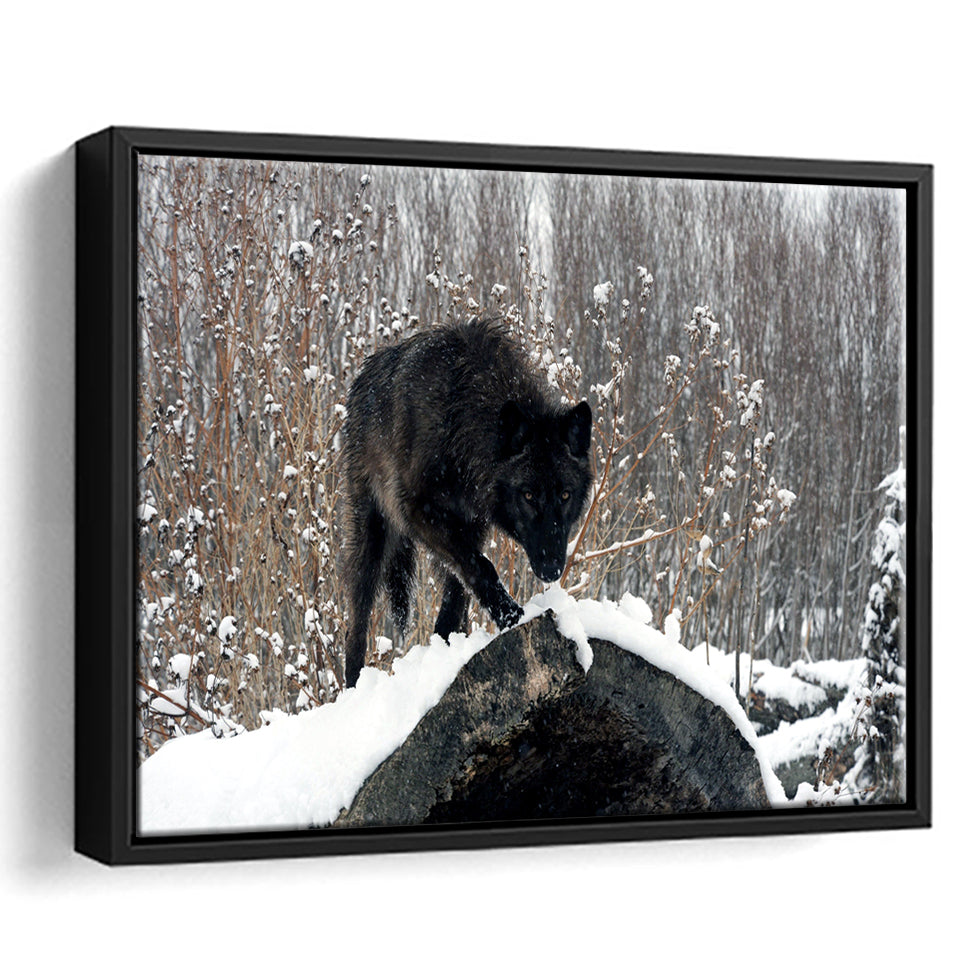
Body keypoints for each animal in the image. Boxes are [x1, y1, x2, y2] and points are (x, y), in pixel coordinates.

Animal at [341, 319, 593, 688]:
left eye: (565, 495)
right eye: (528, 495)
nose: (551, 568)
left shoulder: (473, 524)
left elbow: (460, 589)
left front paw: (450, 647)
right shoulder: (419, 512)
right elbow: (481, 567)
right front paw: (511, 615)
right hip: (372, 535)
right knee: (356, 623)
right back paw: (354, 687)